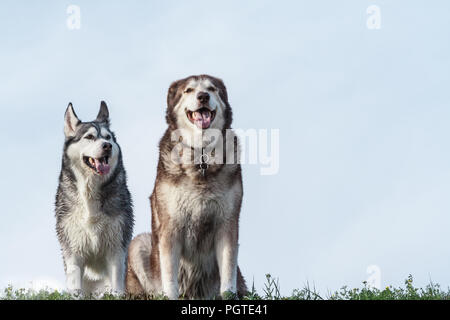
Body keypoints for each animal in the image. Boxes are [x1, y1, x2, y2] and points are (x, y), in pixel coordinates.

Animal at [54, 102, 134, 296]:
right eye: (89, 137)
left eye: (108, 137)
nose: (107, 146)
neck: (90, 192)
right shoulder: (73, 250)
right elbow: (75, 286)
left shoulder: (116, 247)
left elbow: (116, 286)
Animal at [125, 75, 246, 300]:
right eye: (189, 90)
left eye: (211, 89)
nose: (203, 96)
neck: (201, 158)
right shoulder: (170, 228)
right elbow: (170, 277)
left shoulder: (228, 224)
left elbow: (227, 271)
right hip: (139, 245)